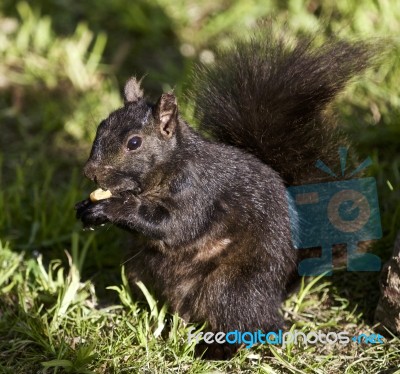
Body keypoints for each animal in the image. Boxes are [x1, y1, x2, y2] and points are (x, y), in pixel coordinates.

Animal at [74, 32, 372, 360]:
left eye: (134, 143)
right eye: (101, 126)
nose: (90, 172)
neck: (168, 167)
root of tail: (277, 292)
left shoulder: (198, 192)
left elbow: (175, 225)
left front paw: (113, 207)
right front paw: (87, 208)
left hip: (229, 287)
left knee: (251, 326)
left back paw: (213, 349)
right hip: (139, 268)